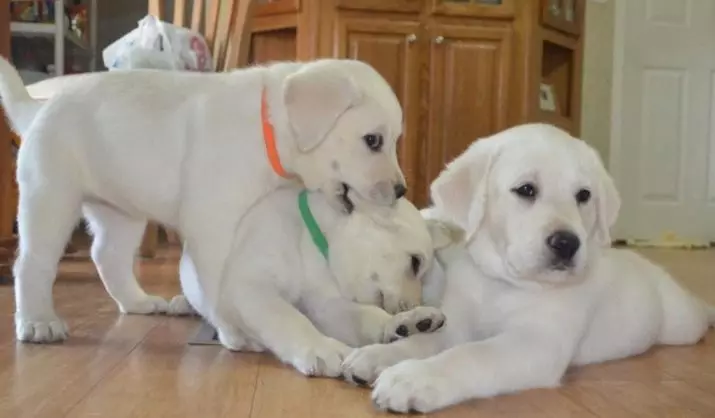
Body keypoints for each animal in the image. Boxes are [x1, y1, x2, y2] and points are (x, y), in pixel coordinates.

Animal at [0, 56, 412, 342]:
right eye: (373, 140)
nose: (401, 190)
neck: (266, 128)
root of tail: (38, 108)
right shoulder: (213, 225)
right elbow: (215, 282)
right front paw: (232, 329)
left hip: (121, 213)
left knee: (108, 256)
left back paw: (138, 303)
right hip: (50, 198)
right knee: (32, 264)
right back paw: (38, 322)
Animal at [179, 188, 458, 378]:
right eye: (415, 262)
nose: (412, 304)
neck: (311, 242)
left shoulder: (325, 307)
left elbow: (365, 315)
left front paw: (404, 322)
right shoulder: (250, 288)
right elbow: (289, 319)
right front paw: (323, 349)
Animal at [342, 122, 715, 414]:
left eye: (584, 195)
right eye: (525, 190)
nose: (567, 243)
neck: (503, 283)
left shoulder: (536, 343)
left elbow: (471, 354)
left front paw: (413, 378)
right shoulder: (457, 325)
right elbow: (428, 343)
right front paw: (379, 355)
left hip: (682, 324)